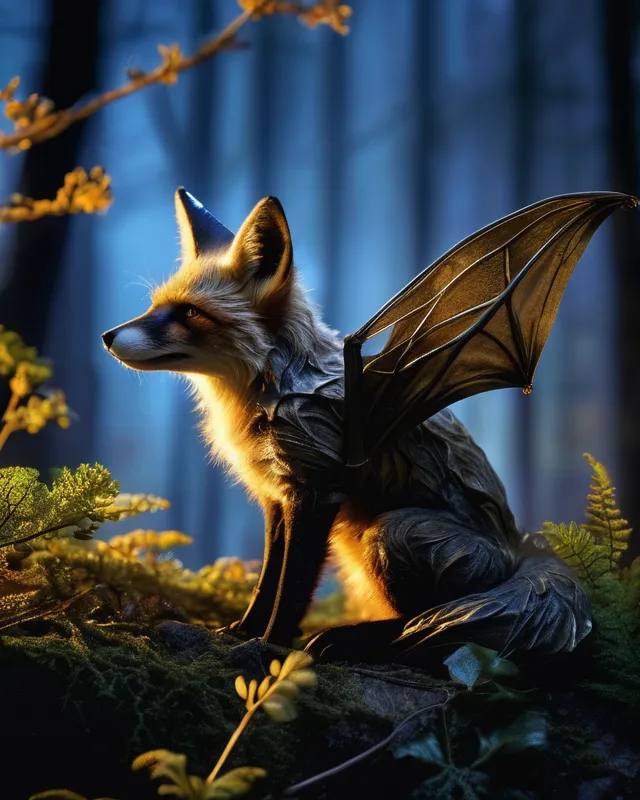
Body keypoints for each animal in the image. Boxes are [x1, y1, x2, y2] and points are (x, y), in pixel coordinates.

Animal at [101, 187, 630, 664]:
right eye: (154, 306)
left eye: (190, 313)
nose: (106, 335)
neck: (268, 394)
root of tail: (519, 546)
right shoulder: (277, 494)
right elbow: (269, 578)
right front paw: (242, 630)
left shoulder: (317, 489)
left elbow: (293, 586)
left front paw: (268, 648)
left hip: (392, 532)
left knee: (441, 626)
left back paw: (355, 640)